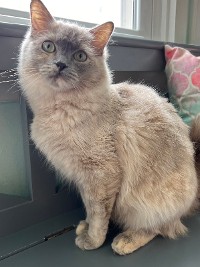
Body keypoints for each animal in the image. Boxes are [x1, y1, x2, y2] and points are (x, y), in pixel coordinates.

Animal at [18, 0, 199, 256]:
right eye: (49, 46)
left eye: (80, 56)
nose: (61, 64)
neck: (58, 110)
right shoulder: (84, 179)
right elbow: (90, 210)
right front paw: (84, 227)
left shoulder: (101, 174)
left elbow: (98, 216)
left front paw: (91, 242)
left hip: (149, 204)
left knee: (160, 227)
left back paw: (125, 241)